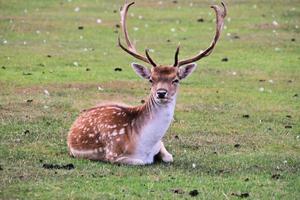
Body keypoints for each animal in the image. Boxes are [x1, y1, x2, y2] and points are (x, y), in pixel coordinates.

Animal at [67, 0, 227, 165]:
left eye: (175, 79)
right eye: (151, 79)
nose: (161, 93)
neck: (145, 145)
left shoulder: (160, 144)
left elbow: (169, 157)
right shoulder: (113, 153)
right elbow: (141, 161)